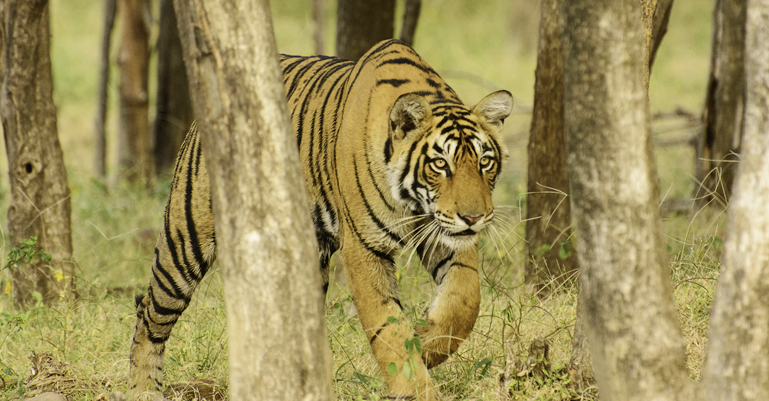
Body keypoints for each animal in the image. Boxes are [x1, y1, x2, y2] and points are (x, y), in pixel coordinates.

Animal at [129, 38, 512, 400]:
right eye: (440, 164)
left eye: (485, 162)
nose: (474, 217)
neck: (413, 203)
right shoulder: (364, 247)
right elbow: (387, 328)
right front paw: (415, 386)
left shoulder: (442, 232)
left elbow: (464, 301)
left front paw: (427, 342)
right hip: (186, 241)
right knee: (150, 311)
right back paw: (142, 389)